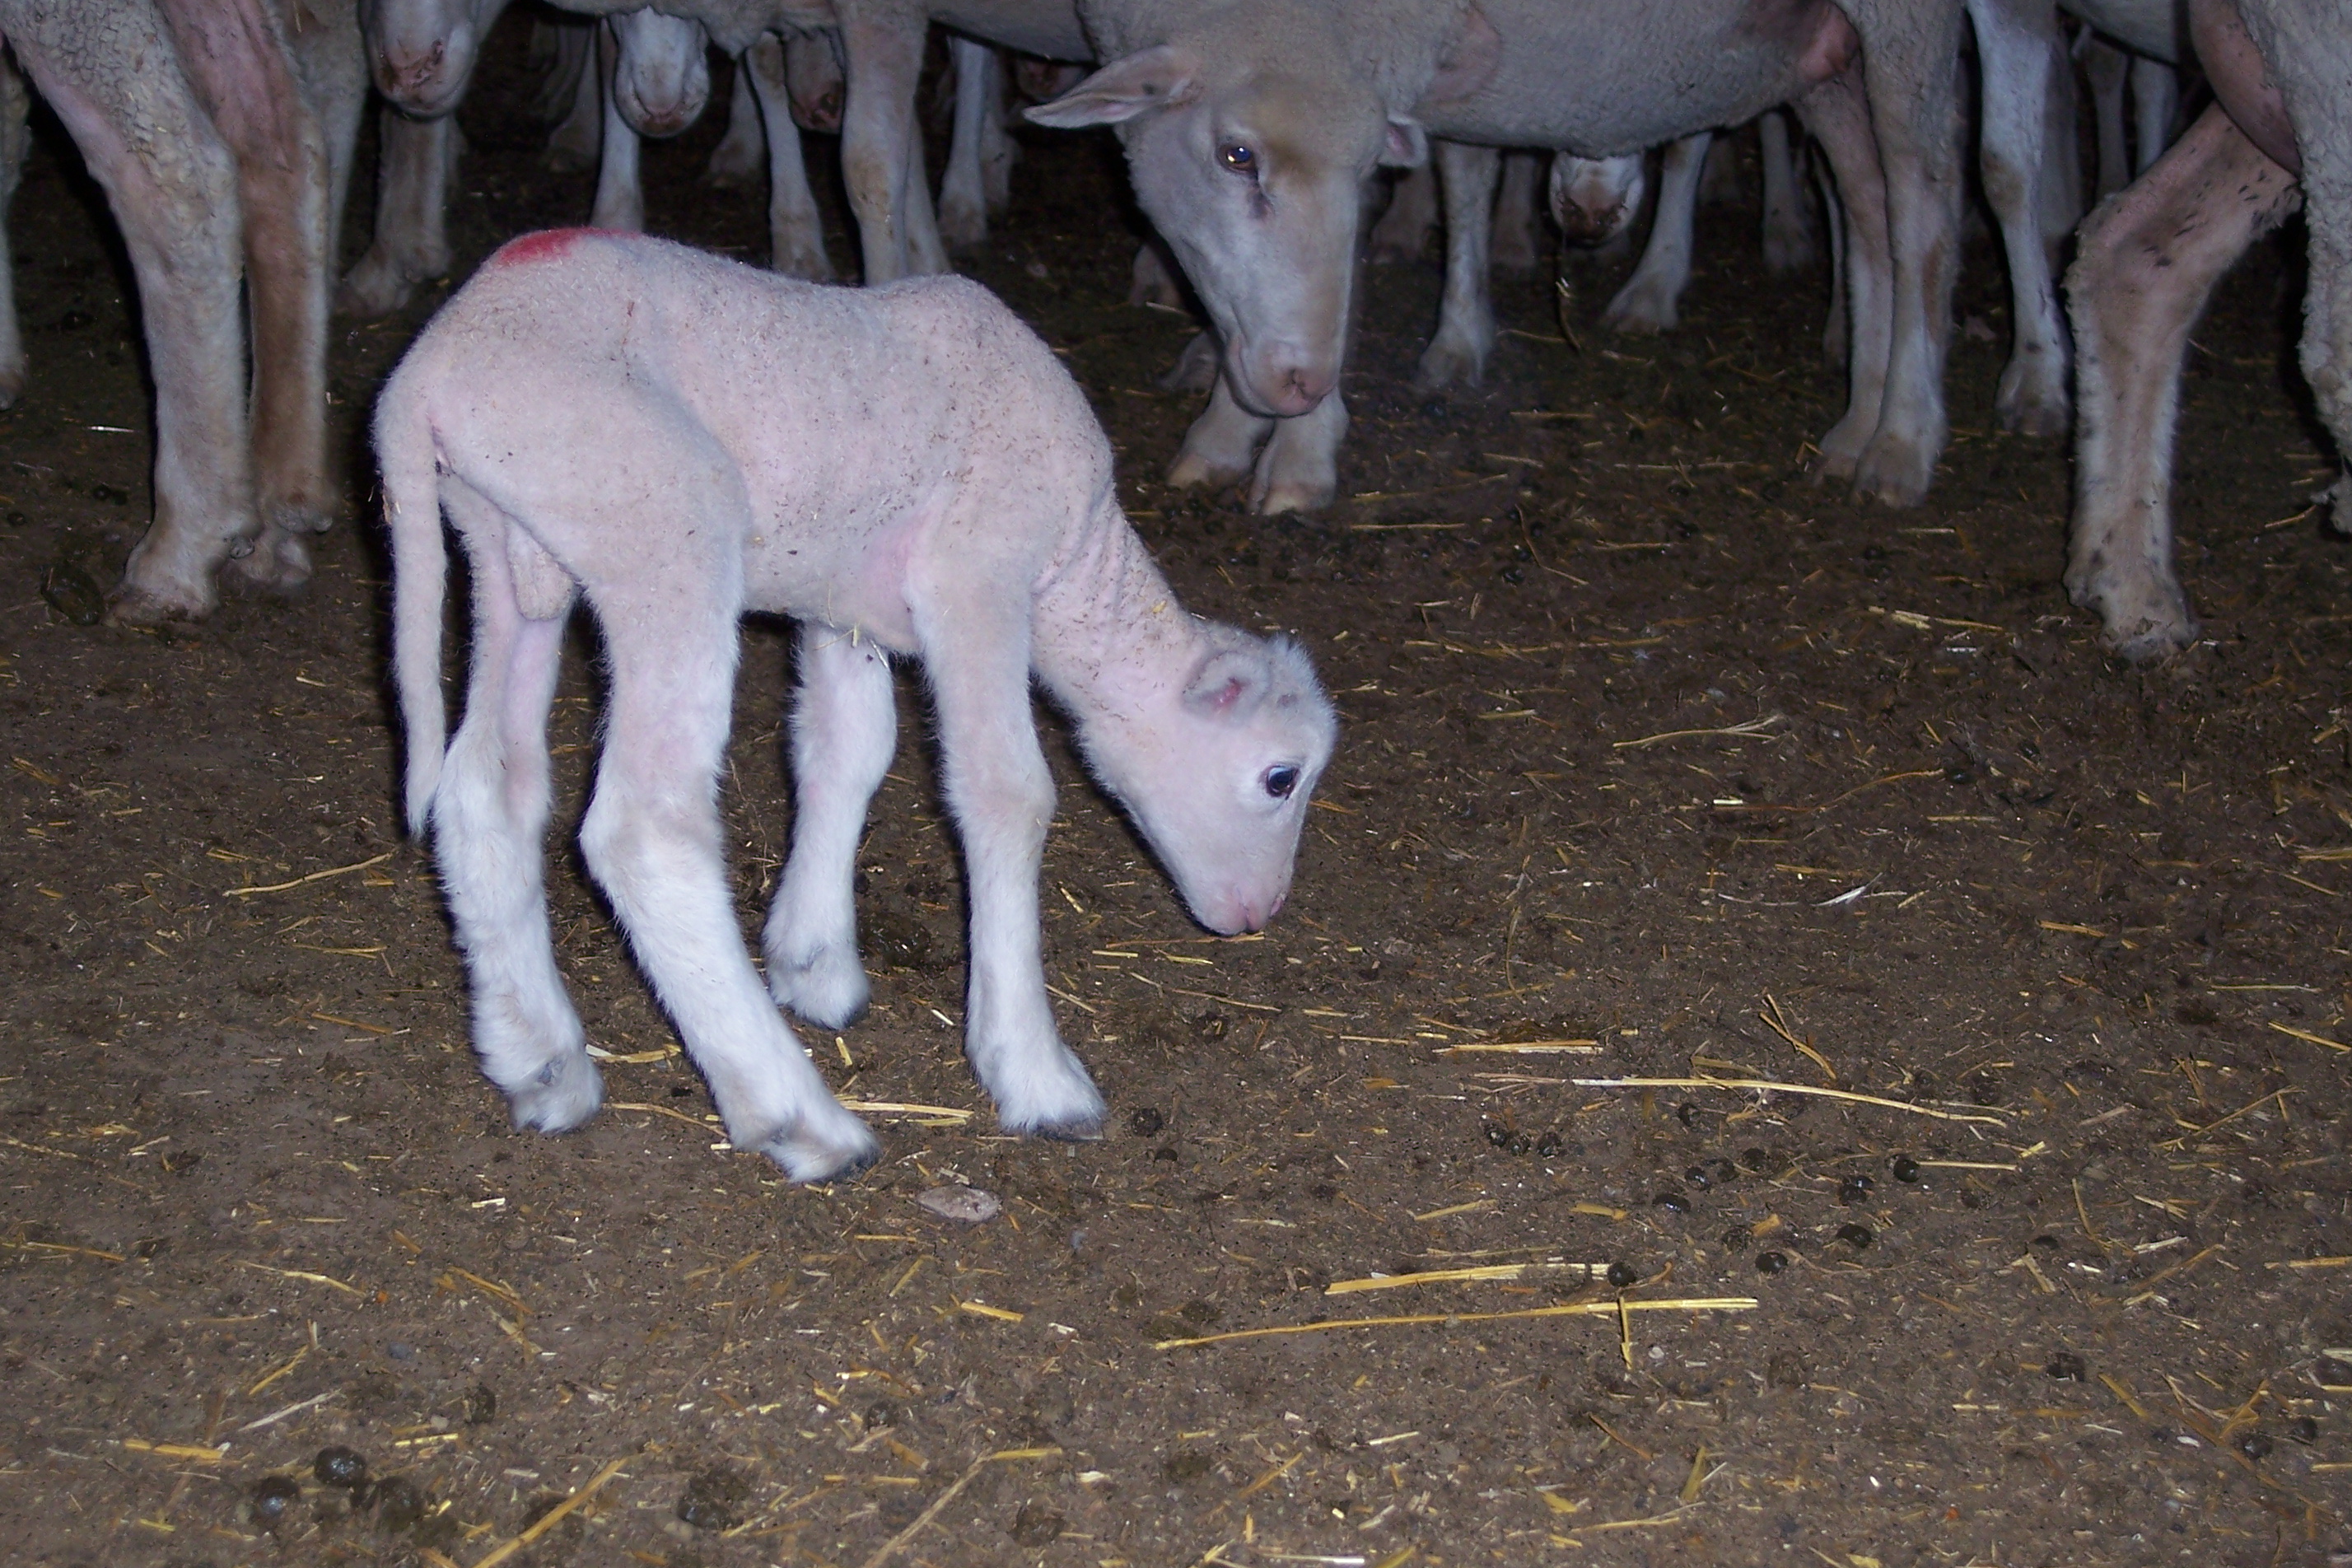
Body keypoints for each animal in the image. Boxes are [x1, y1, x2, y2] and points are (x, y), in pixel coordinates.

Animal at [376, 229, 1336, 1182]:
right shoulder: (977, 575)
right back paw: (799, 1117)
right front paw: (1033, 1072)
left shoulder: (841, 606)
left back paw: (538, 1059)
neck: (1078, 568)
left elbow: (847, 749)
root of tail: (425, 374)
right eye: (1279, 777)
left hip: (508, 553)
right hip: (662, 527)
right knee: (644, 828)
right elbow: (1009, 796)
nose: (1262, 916)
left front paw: (814, 960)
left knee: (486, 788)